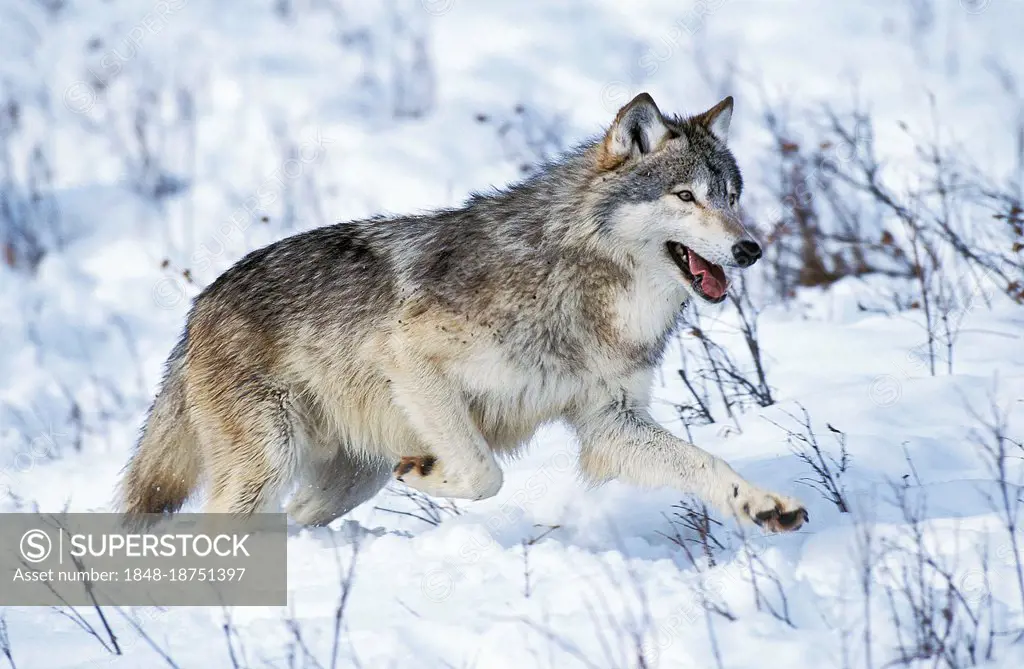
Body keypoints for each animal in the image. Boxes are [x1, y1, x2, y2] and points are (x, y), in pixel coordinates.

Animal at [119, 92, 806, 532]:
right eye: (686, 197)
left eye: (731, 197)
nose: (750, 249)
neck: (581, 286)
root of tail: (199, 307)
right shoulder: (409, 356)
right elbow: (484, 474)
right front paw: (431, 474)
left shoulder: (610, 422)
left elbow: (707, 462)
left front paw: (763, 505)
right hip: (268, 465)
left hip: (347, 479)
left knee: (295, 519)